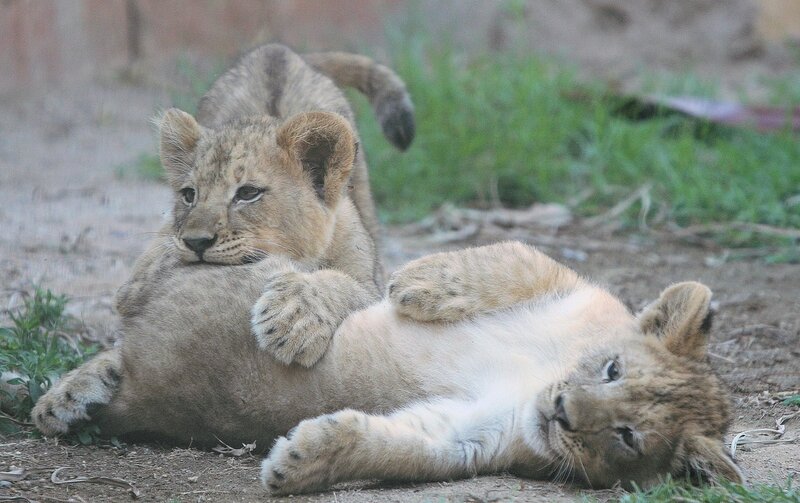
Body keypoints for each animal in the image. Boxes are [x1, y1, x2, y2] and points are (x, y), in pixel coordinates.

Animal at [33, 241, 742, 492]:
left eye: (628, 437)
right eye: (613, 369)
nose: (564, 413)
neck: (541, 377)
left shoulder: (479, 436)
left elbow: (402, 449)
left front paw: (303, 459)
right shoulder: (568, 283)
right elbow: (502, 261)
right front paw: (419, 285)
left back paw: (71, 401)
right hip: (251, 259)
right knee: (168, 249)